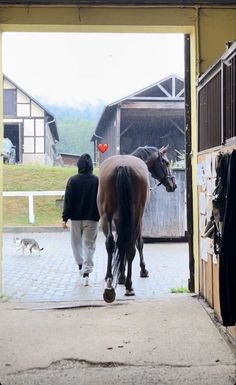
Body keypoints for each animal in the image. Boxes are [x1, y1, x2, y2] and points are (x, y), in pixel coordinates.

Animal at [97, 146, 176, 302]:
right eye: (166, 162)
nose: (173, 185)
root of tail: (123, 166)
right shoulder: (139, 218)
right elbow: (139, 243)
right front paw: (142, 270)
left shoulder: (118, 219)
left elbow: (119, 243)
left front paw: (120, 276)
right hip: (136, 216)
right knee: (130, 246)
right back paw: (129, 285)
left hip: (106, 216)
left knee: (110, 243)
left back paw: (109, 283)